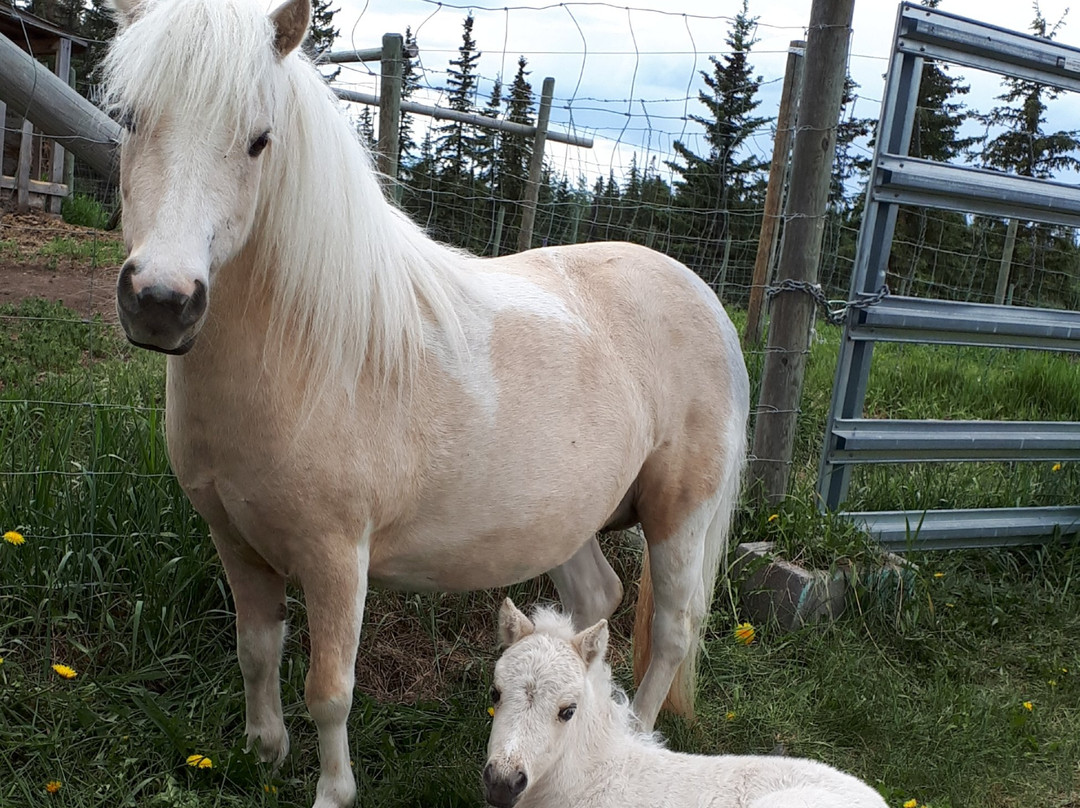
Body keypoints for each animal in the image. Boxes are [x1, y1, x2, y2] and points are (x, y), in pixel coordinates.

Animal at [101, 0, 747, 803]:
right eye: (130, 118)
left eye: (258, 140)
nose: (161, 302)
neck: (306, 353)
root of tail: (706, 298)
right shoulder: (235, 539)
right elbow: (257, 649)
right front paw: (264, 753)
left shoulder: (338, 559)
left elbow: (329, 690)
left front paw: (332, 790)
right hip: (569, 521)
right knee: (597, 600)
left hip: (679, 518)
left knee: (674, 631)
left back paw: (640, 734)